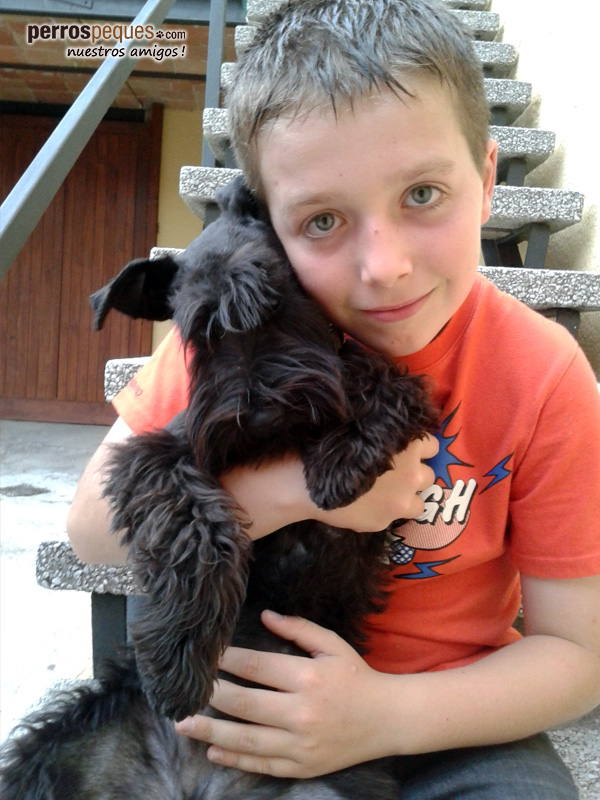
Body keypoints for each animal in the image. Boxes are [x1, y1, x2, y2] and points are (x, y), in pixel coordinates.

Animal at [0, 177, 438, 799]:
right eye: (198, 332)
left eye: (278, 299)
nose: (257, 411)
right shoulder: (154, 458)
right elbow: (194, 525)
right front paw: (179, 660)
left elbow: (385, 384)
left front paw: (341, 456)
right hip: (54, 747)